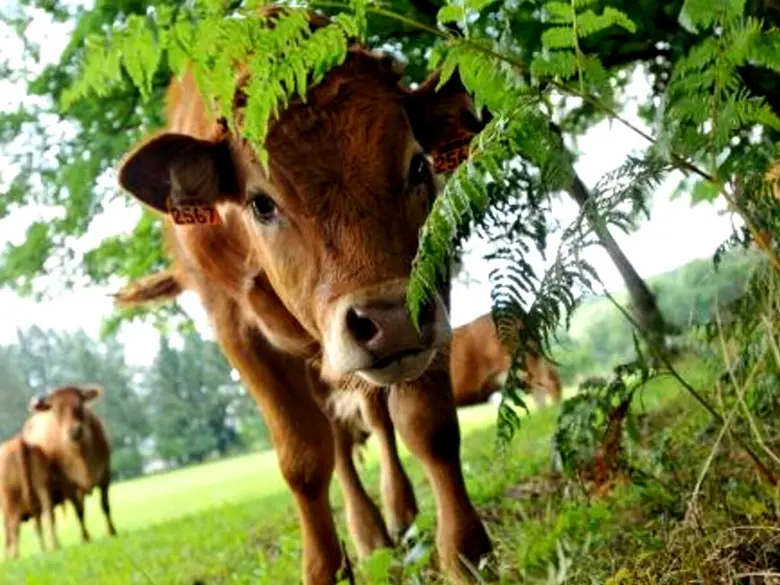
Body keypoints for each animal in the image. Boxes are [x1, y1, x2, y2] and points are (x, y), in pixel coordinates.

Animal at [22, 384, 116, 544]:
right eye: (56, 411)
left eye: (79, 405)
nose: (74, 431)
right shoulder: (68, 484)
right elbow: (79, 511)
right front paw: (85, 538)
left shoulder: (105, 474)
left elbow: (105, 505)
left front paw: (112, 531)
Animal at [114, 5, 494, 584]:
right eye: (261, 203)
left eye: (418, 165)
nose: (391, 320)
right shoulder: (234, 327)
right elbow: (304, 456)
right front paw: (323, 566)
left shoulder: (433, 285)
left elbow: (426, 423)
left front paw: (466, 554)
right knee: (335, 437)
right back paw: (367, 533)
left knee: (373, 418)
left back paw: (398, 513)